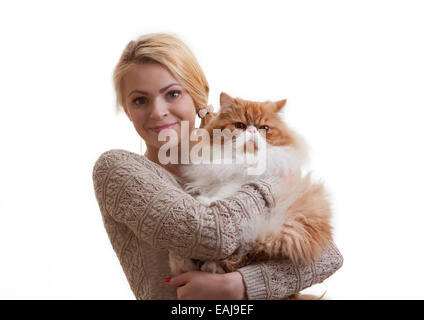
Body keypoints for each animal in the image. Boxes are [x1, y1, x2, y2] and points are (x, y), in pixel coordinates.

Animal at [167, 91, 332, 282]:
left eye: (264, 128)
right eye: (240, 125)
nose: (252, 130)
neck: (244, 160)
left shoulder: (241, 181)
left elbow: (226, 191)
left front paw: (207, 200)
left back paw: (209, 266)